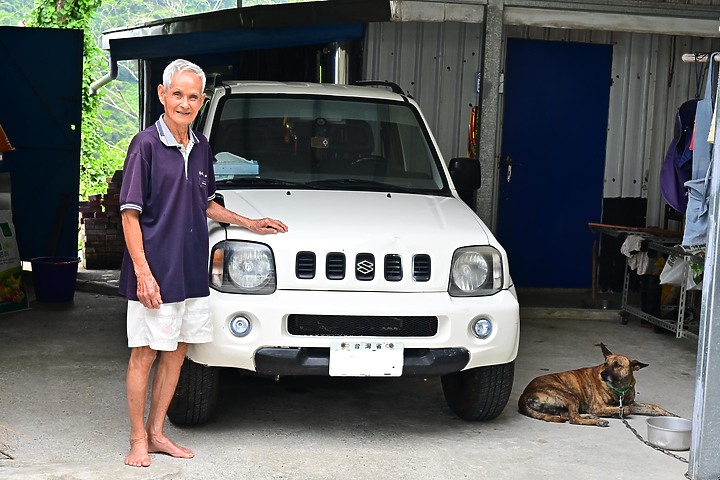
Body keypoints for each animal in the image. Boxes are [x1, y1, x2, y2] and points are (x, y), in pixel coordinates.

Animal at [516, 342, 668, 428]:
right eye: (606, 364)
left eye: (617, 365)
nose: (603, 374)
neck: (619, 388)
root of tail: (524, 395)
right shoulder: (598, 407)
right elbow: (627, 409)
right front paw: (615, 413)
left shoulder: (632, 403)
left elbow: (653, 407)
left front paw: (669, 414)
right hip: (569, 395)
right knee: (573, 418)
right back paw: (597, 421)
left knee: (567, 414)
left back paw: (590, 417)